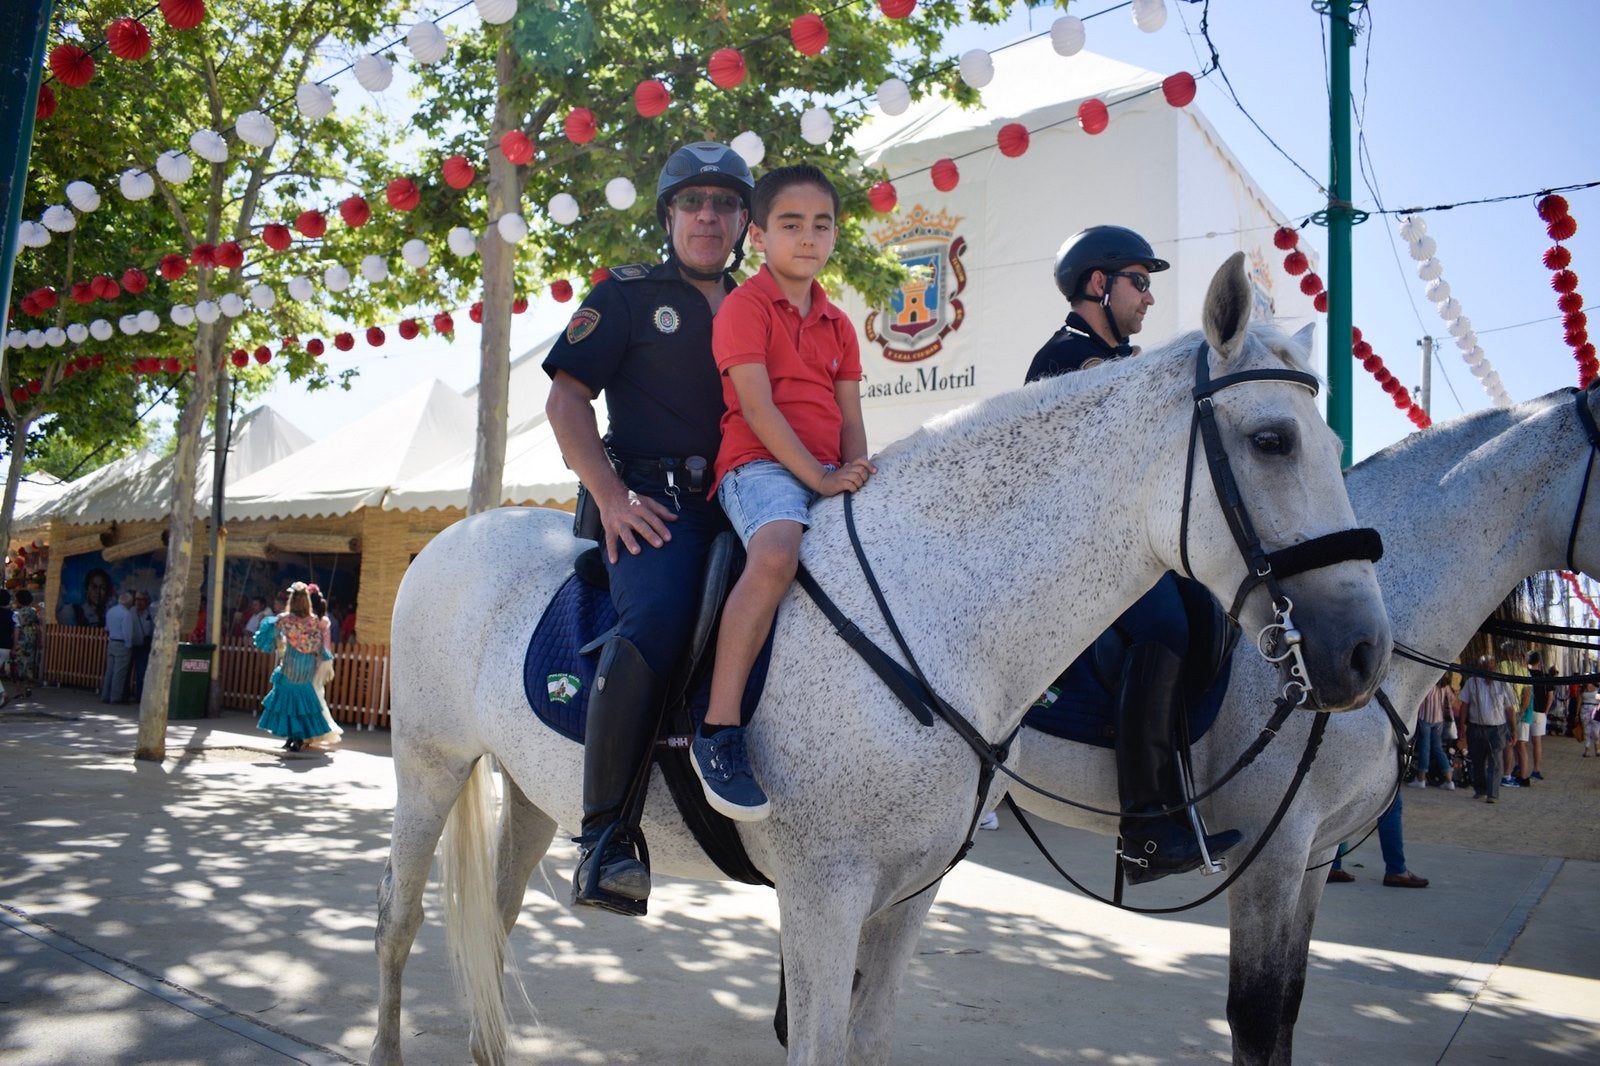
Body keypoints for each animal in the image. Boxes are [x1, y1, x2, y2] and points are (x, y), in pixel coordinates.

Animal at [371, 252, 1388, 1056]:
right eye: (1271, 440)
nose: (1364, 650)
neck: (936, 617)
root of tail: (458, 535)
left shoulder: (908, 898)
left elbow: (868, 1040)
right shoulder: (824, 897)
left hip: (532, 788)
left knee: (495, 923)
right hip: (428, 766)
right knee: (399, 919)